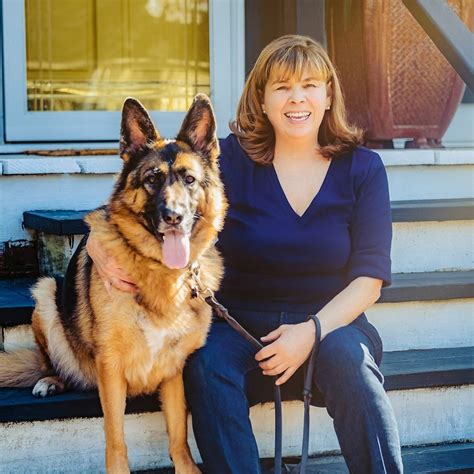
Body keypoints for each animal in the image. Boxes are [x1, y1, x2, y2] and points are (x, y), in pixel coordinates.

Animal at [0, 94, 227, 473]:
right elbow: (116, 437)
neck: (160, 272)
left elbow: (179, 435)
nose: (174, 217)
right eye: (152, 179)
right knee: (53, 362)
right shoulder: (111, 369)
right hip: (46, 294)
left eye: (189, 179)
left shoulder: (174, 371)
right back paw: (50, 380)